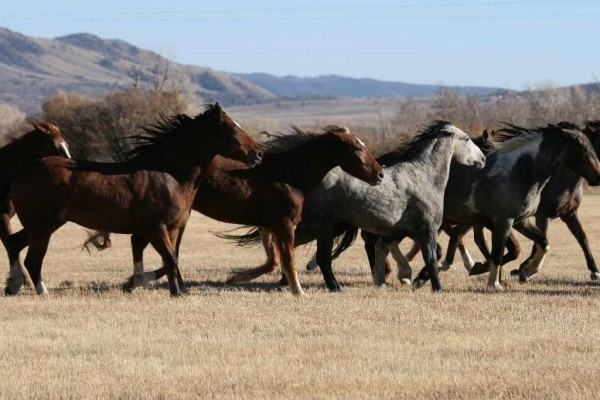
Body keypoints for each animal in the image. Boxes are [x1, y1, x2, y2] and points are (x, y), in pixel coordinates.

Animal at [88, 125, 382, 296]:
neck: (287, 173)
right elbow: (288, 260)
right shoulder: (284, 224)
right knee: (151, 245)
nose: (379, 175)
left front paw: (235, 277)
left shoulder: (268, 224)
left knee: (150, 244)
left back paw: (146, 282)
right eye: (356, 147)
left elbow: (274, 261)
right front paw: (298, 291)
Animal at [226, 120, 488, 292]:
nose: (483, 160)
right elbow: (432, 259)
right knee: (295, 249)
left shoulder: (405, 231)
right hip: (318, 226)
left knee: (311, 254)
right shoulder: (426, 229)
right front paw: (434, 286)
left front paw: (406, 280)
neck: (423, 176)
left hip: (326, 228)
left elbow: (419, 254)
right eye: (466, 139)